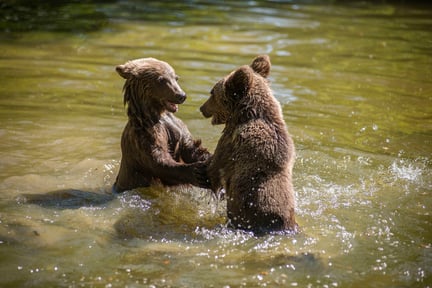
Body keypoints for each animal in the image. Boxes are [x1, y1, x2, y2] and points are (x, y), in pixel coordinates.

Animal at [113, 58, 211, 194]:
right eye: (161, 79)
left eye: (176, 78)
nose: (181, 95)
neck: (156, 114)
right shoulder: (144, 136)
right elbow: (159, 161)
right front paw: (196, 172)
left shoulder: (176, 126)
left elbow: (191, 147)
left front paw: (207, 157)